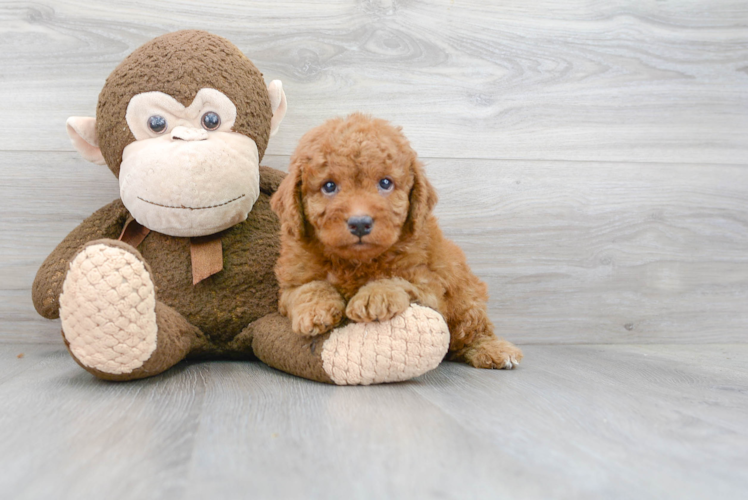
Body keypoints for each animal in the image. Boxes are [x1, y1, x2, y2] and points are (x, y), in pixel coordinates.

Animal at [272, 114, 524, 372]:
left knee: (472, 330)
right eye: (329, 186)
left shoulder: (428, 285)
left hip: (465, 298)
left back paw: (494, 350)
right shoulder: (290, 284)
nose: (360, 223)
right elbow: (308, 287)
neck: (355, 262)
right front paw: (315, 310)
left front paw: (375, 297)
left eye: (385, 183)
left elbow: (397, 281)